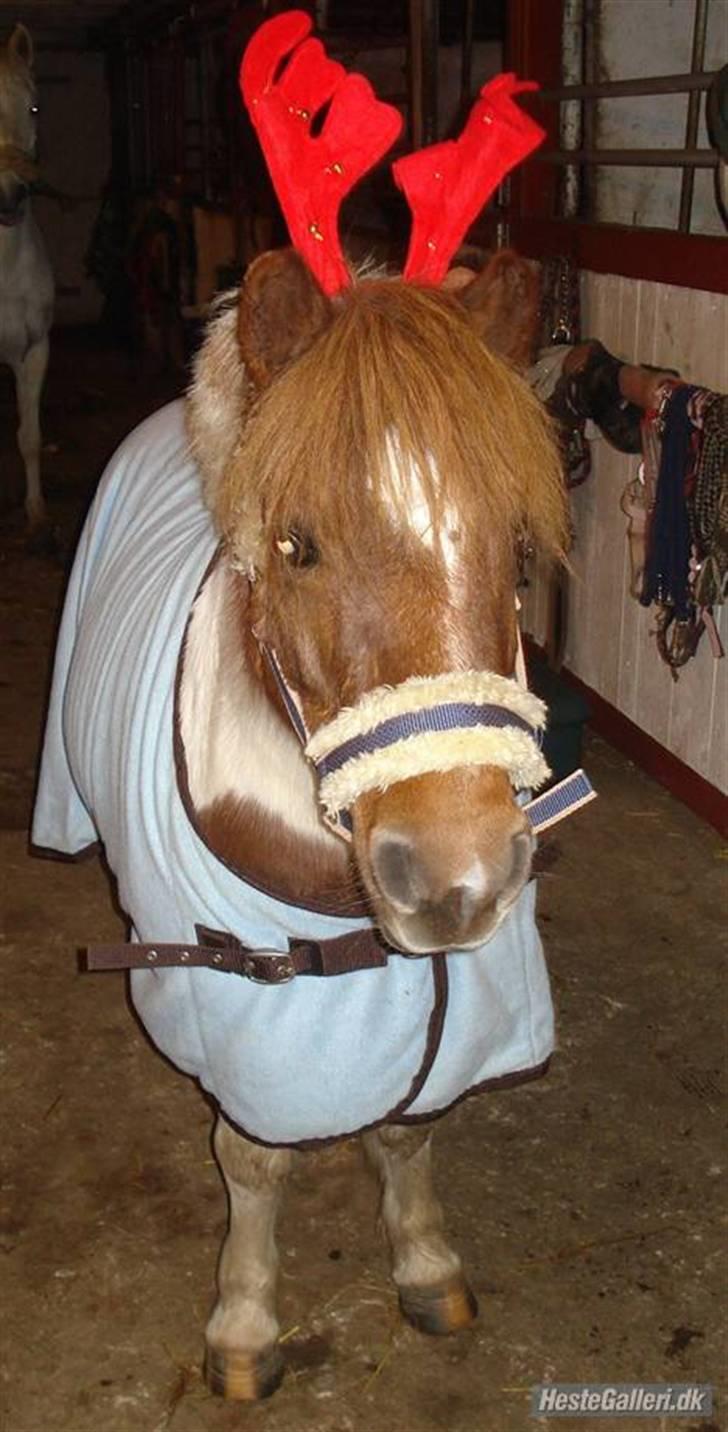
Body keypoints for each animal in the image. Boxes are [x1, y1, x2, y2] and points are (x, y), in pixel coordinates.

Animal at [32, 14, 569, 1402]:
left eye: (513, 544)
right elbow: (254, 1159)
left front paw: (423, 1262)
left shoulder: (450, 1004)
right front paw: (243, 1322)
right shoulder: (242, 1012)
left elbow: (410, 1133)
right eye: (295, 544)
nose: (455, 875)